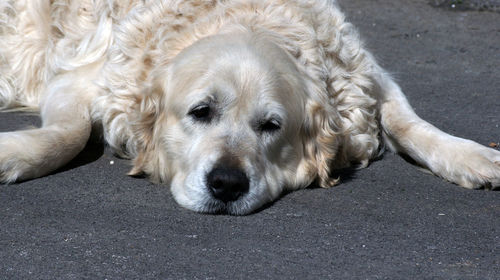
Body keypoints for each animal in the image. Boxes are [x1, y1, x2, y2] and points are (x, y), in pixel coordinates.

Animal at [0, 0, 500, 214]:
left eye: (271, 125)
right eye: (200, 112)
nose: (226, 184)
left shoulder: (367, 78)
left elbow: (410, 122)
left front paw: (473, 157)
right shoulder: (81, 79)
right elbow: (68, 133)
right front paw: (13, 154)